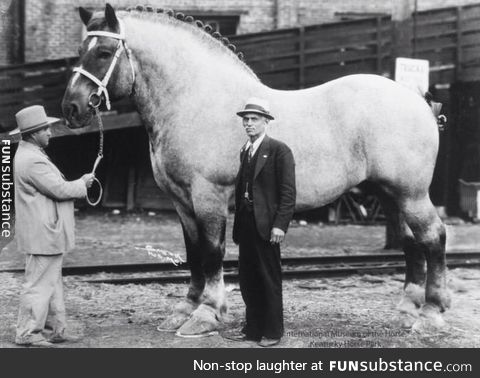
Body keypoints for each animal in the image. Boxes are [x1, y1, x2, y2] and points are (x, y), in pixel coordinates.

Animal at [62, 3, 450, 336]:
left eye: (103, 52)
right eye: (81, 49)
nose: (72, 108)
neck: (196, 99)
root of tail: (417, 99)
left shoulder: (209, 196)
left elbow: (212, 252)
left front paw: (206, 314)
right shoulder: (182, 202)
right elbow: (193, 253)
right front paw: (185, 309)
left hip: (411, 194)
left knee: (433, 237)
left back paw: (431, 314)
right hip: (389, 194)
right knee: (410, 242)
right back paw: (407, 310)